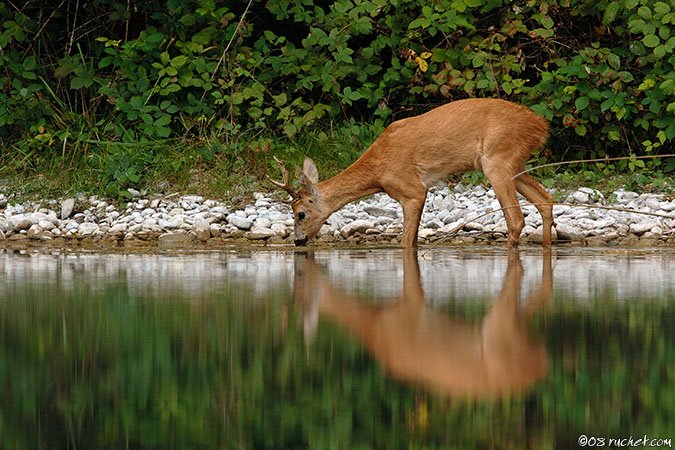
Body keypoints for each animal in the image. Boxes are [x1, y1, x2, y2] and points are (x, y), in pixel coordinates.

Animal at [270, 98, 554, 247]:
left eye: (300, 213)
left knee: (516, 219)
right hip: (514, 164)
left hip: (496, 160)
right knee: (545, 201)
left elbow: (407, 241)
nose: (298, 241)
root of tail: (541, 125)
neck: (377, 170)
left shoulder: (411, 189)